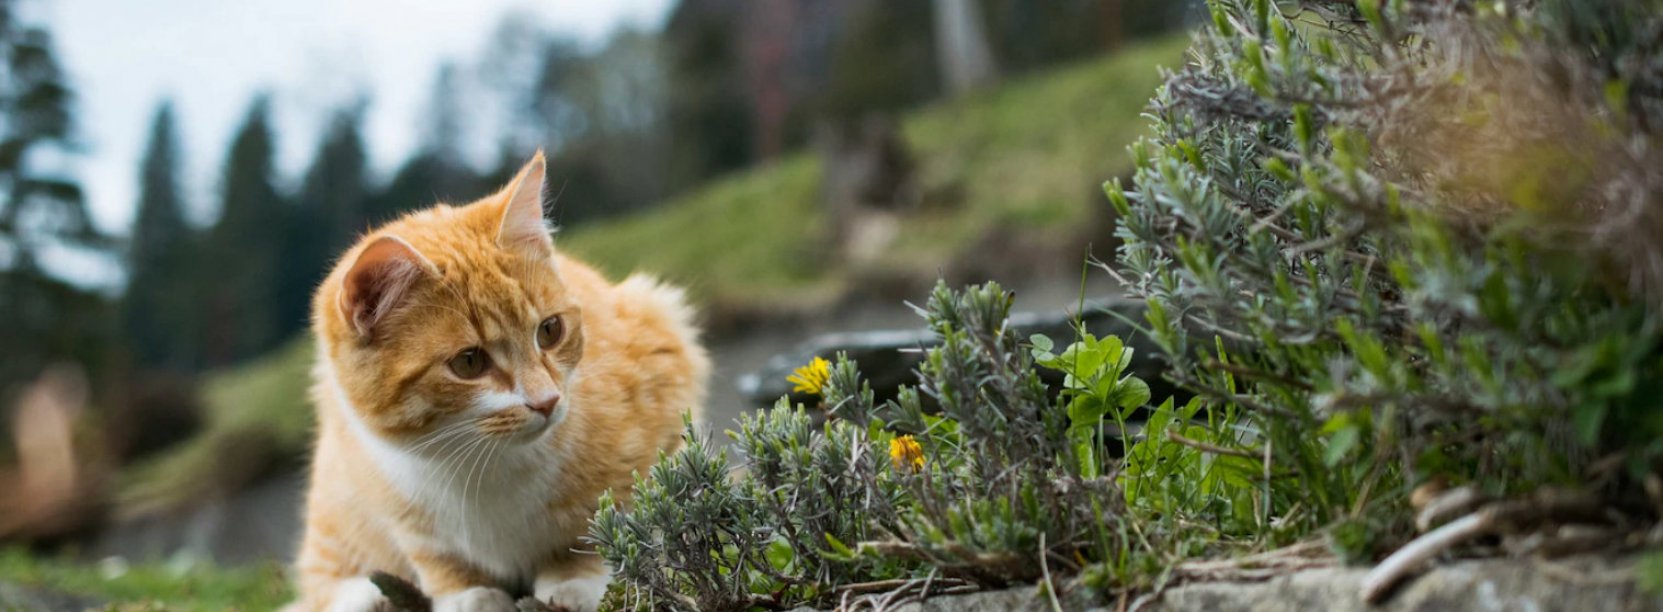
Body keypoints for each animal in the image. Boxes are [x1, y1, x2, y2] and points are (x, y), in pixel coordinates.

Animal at [292, 153, 708, 612]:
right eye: (469, 362)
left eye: (550, 331)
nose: (547, 401)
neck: (480, 459)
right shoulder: (394, 498)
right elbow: (434, 553)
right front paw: (466, 593)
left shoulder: (660, 376)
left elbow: (606, 512)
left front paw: (576, 579)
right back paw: (365, 594)